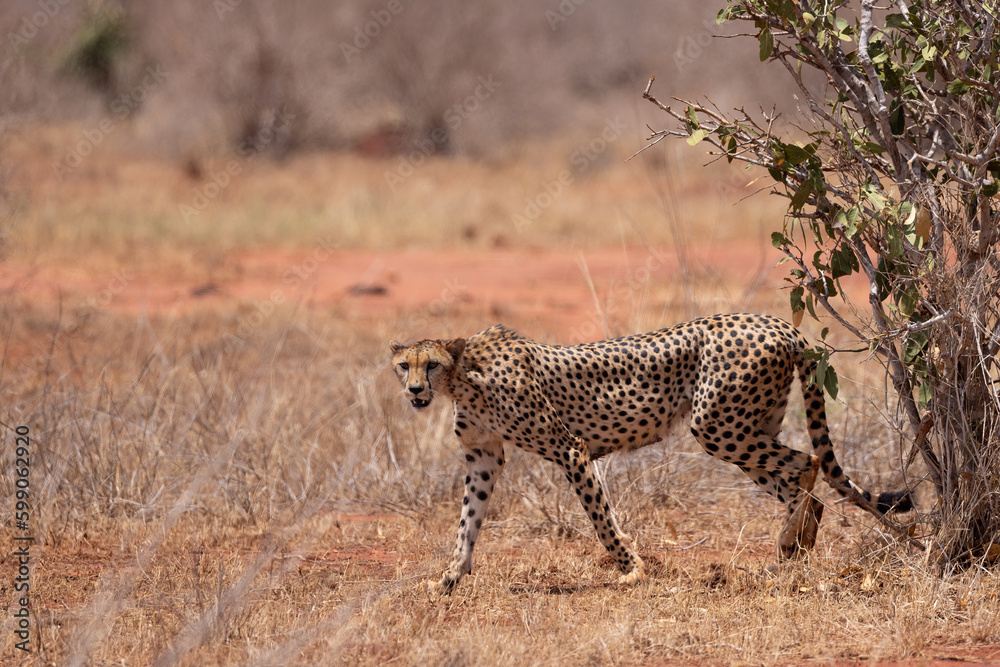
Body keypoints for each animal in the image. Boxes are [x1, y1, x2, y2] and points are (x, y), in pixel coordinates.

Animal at [390, 313, 912, 593]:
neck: (463, 377)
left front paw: (631, 570)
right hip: (747, 428)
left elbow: (600, 518)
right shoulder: (483, 458)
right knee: (805, 483)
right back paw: (797, 547)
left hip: (718, 427)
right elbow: (468, 520)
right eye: (402, 365)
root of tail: (778, 322)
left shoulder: (571, 449)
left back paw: (789, 542)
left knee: (809, 464)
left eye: (430, 364)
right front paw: (449, 579)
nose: (414, 390)